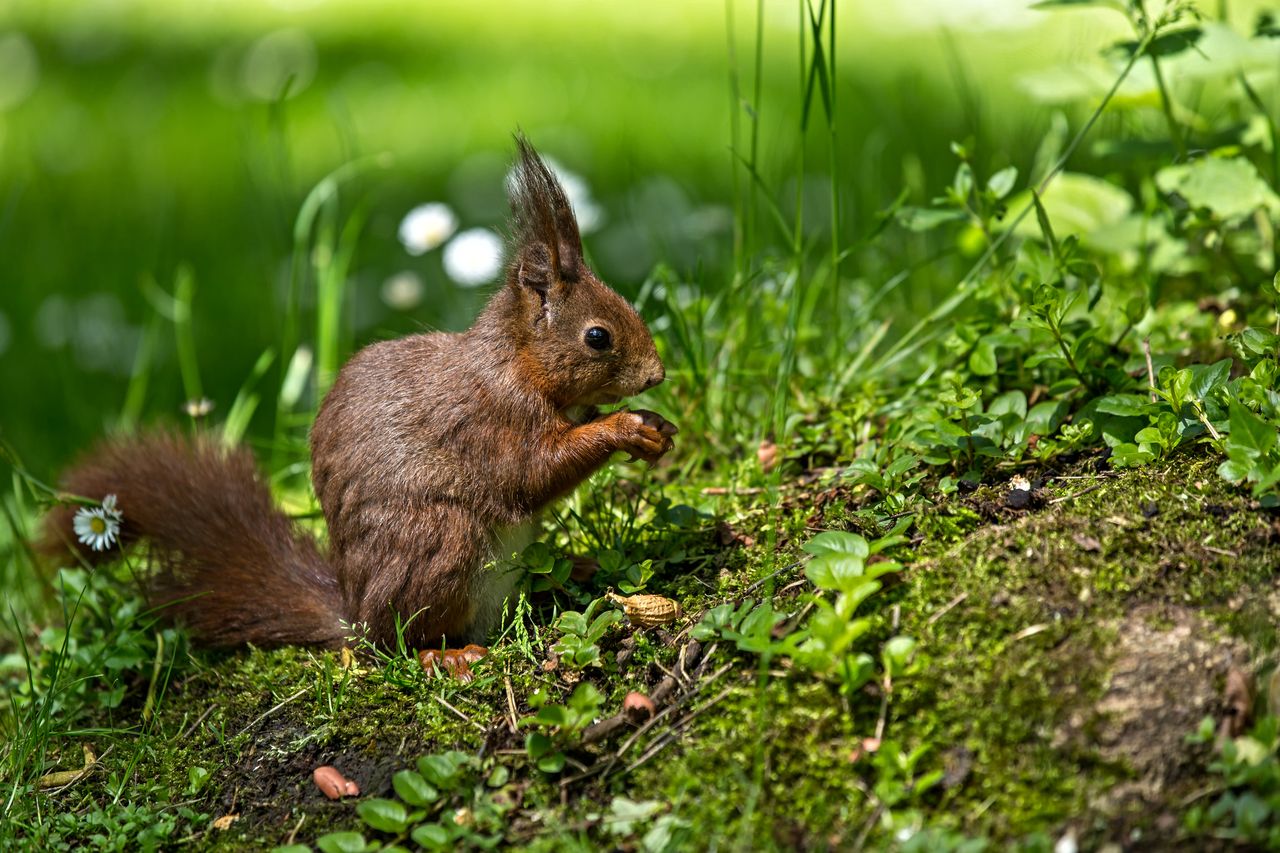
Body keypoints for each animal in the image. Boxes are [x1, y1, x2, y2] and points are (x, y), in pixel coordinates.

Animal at [41, 139, 680, 653]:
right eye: (597, 337)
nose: (657, 376)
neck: (517, 365)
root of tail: (355, 616)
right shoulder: (490, 422)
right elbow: (532, 472)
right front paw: (622, 428)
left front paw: (656, 427)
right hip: (441, 545)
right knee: (403, 642)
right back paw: (449, 656)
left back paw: (574, 568)